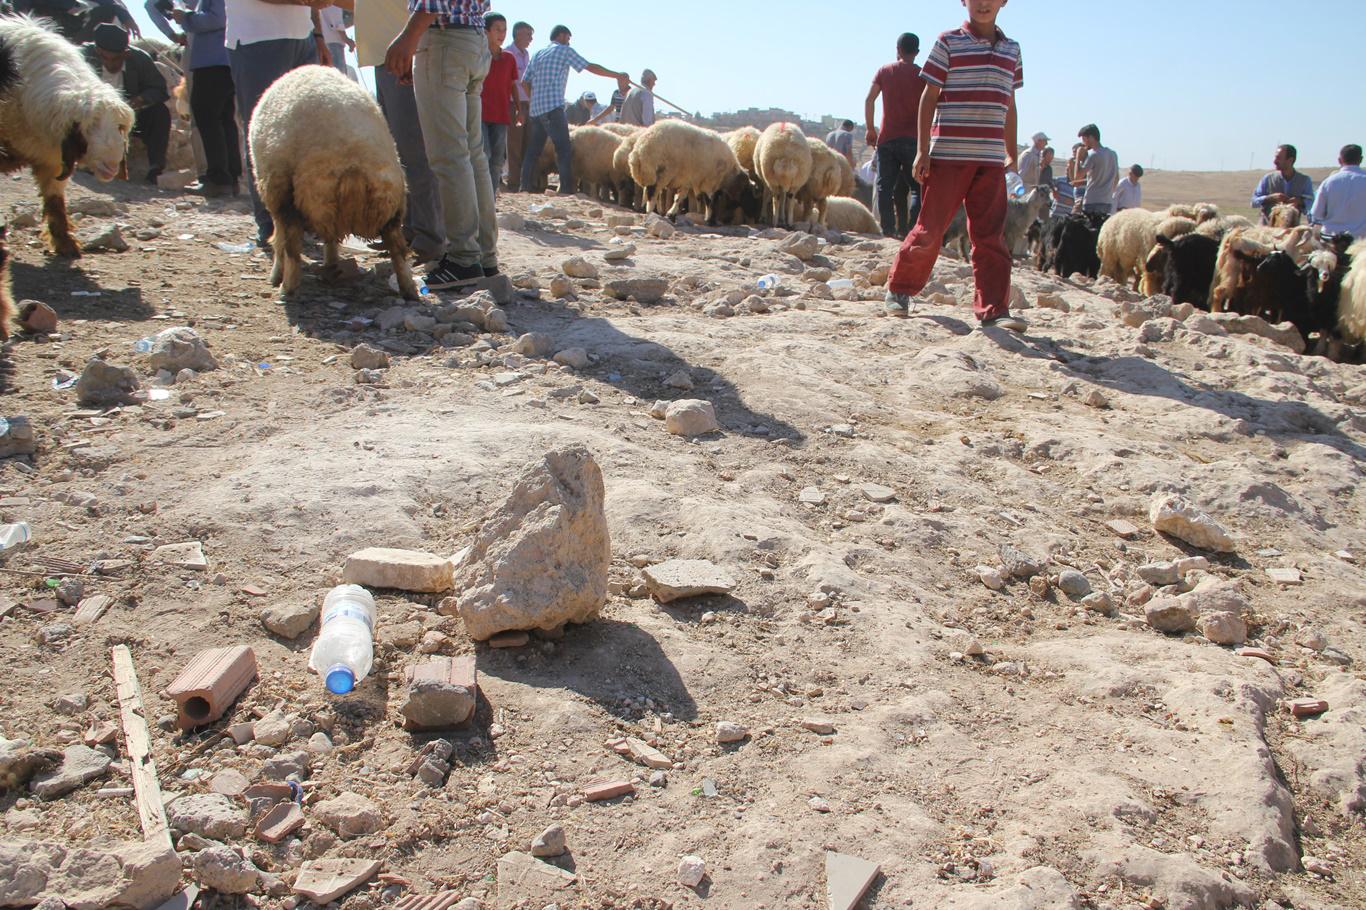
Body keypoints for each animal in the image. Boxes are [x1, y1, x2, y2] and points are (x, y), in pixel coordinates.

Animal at [0, 15, 134, 256]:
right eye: (87, 128)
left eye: (119, 127)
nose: (111, 166)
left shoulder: (51, 159)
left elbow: (55, 202)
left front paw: (66, 244)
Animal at [248, 65, 418, 299]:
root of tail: (353, 163)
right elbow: (329, 236)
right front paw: (331, 262)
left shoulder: (275, 190)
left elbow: (279, 239)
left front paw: (276, 276)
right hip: (392, 205)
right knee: (398, 249)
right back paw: (408, 288)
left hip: (292, 192)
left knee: (291, 243)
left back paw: (287, 288)